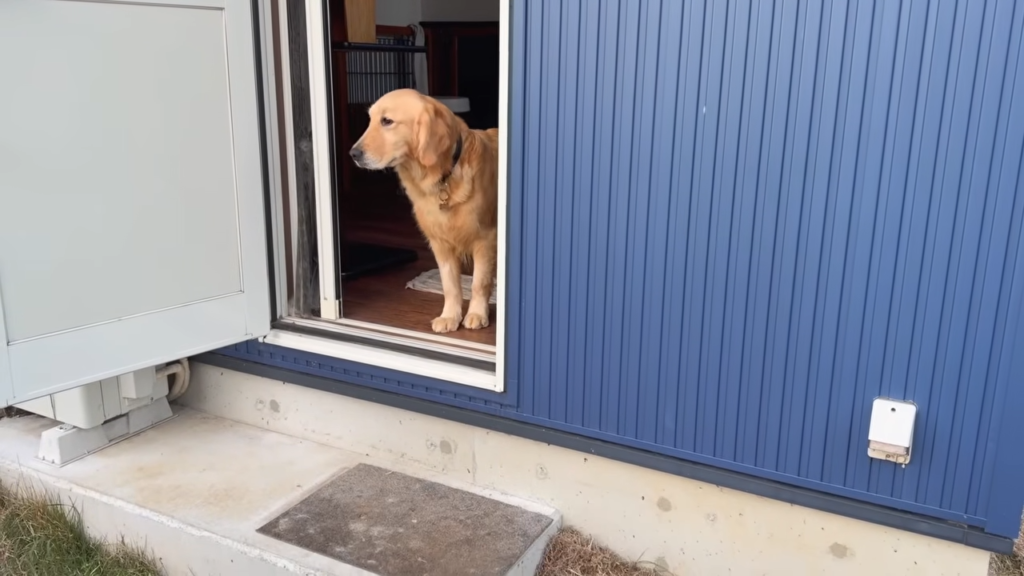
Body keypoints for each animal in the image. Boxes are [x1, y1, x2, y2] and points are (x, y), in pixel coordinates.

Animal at [350, 89, 498, 334]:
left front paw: (476, 314)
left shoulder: (485, 238)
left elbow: (479, 282)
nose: (353, 154)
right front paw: (449, 316)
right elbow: (450, 285)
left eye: (387, 121)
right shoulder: (440, 242)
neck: (443, 177)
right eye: (370, 120)